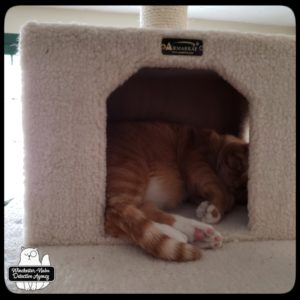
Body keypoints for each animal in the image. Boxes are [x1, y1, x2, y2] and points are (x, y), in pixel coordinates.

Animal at [105, 120, 248, 262]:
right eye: (236, 166)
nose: (234, 188)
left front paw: (205, 207)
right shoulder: (198, 166)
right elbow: (221, 192)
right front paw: (215, 210)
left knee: (142, 212)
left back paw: (197, 234)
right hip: (131, 171)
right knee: (114, 216)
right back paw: (179, 234)